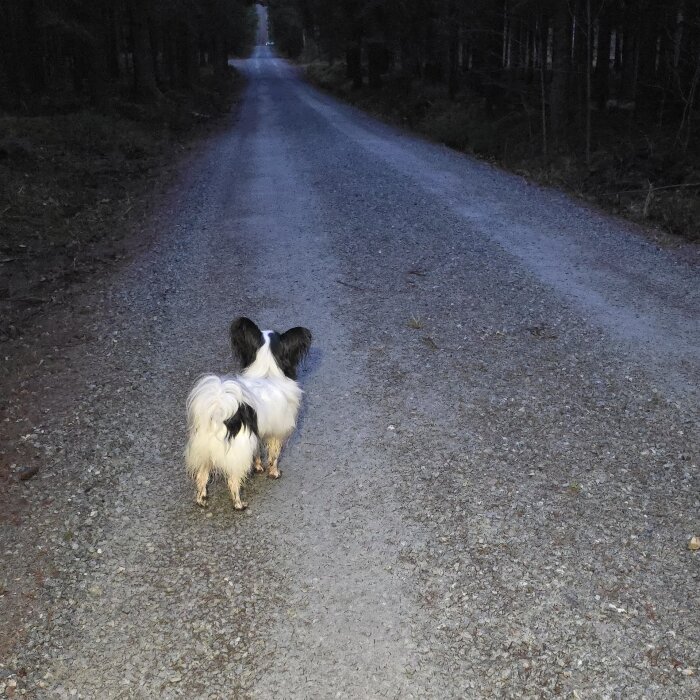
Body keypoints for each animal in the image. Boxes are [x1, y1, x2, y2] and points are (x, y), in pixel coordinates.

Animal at [185, 318, 310, 508]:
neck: (267, 373)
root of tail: (220, 414)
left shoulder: (256, 435)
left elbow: (257, 452)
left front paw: (258, 467)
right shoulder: (277, 434)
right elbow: (274, 455)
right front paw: (274, 472)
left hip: (204, 452)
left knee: (201, 476)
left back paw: (202, 499)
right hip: (236, 454)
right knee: (233, 481)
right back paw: (239, 504)